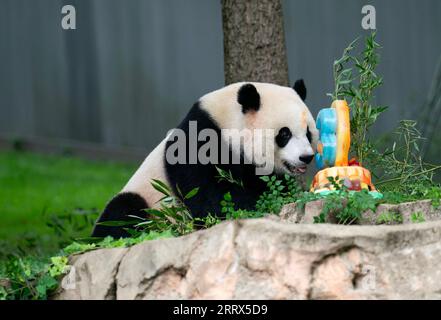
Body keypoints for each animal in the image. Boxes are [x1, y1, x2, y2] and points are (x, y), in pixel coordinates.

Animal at [92, 81, 316, 239]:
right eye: (284, 134)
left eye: (308, 133)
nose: (306, 157)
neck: (226, 119)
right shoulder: (197, 141)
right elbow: (209, 195)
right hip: (147, 201)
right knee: (122, 213)